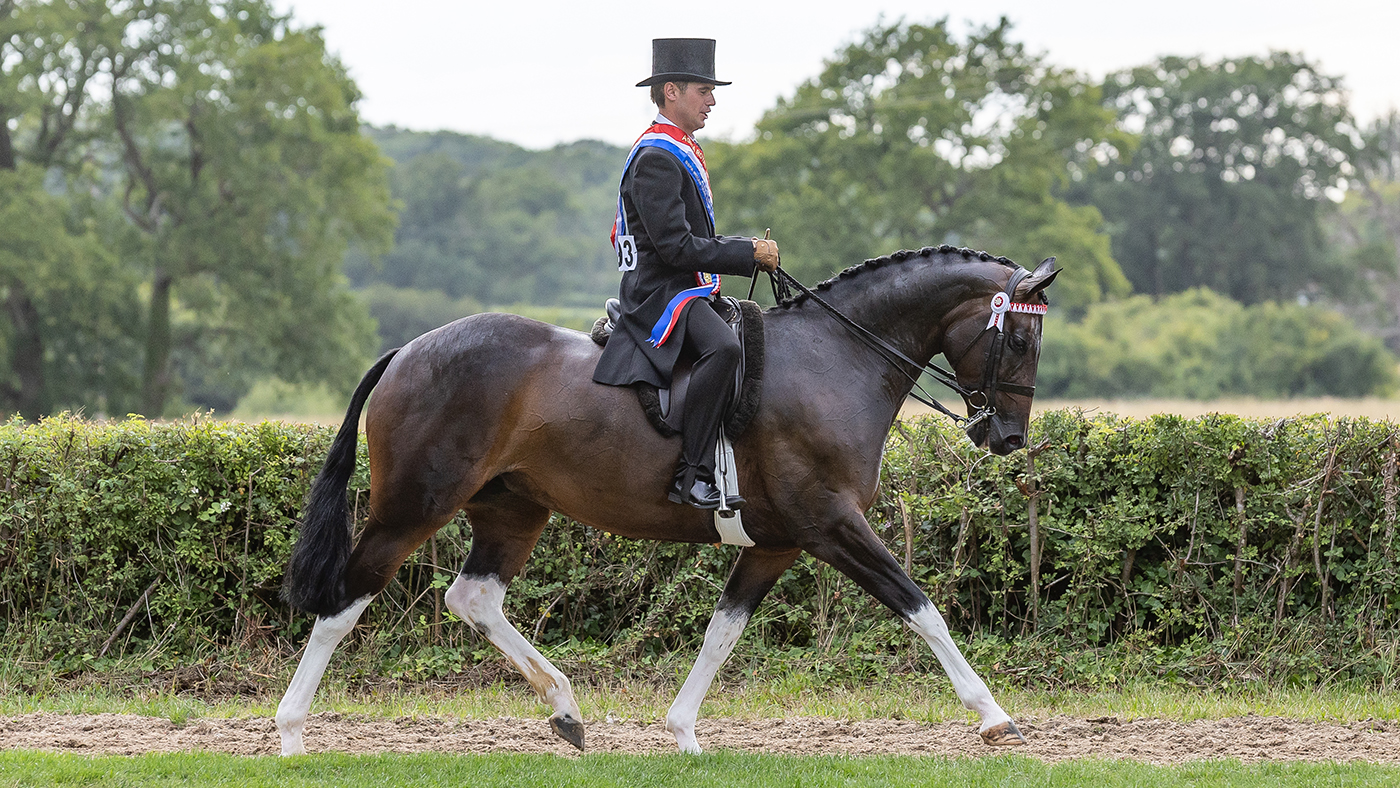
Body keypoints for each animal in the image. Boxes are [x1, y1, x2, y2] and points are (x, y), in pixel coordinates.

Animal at [275, 245, 1059, 755]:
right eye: (1020, 337)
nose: (1007, 436)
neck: (836, 359)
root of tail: (407, 350)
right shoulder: (832, 525)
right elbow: (920, 608)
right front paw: (994, 716)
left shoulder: (776, 543)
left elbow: (722, 632)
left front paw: (682, 732)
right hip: (414, 507)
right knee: (345, 601)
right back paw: (290, 734)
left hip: (512, 509)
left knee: (474, 597)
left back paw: (565, 710)